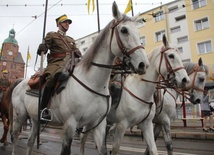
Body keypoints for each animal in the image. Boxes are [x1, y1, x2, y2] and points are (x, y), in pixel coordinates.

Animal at [8, 1, 149, 155]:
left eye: (138, 32)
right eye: (124, 30)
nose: (143, 64)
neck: (93, 83)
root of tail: (20, 82)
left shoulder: (98, 125)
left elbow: (103, 150)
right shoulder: (70, 124)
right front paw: (42, 47)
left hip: (34, 119)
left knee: (30, 141)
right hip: (20, 116)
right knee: (14, 137)